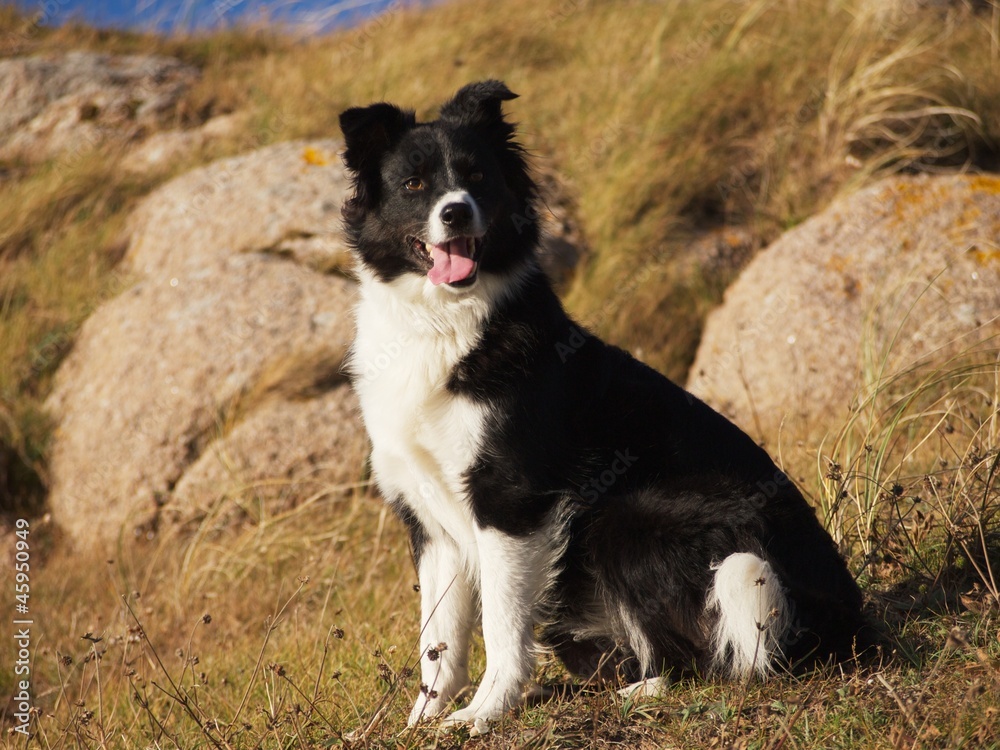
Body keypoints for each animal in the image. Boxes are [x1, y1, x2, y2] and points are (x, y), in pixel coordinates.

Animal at [338, 81, 868, 728]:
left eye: (477, 176)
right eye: (414, 184)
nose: (456, 211)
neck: (440, 322)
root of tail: (842, 612)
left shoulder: (510, 500)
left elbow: (502, 622)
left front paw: (486, 712)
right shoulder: (429, 518)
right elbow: (437, 640)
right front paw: (423, 720)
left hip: (628, 517)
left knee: (716, 655)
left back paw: (648, 688)